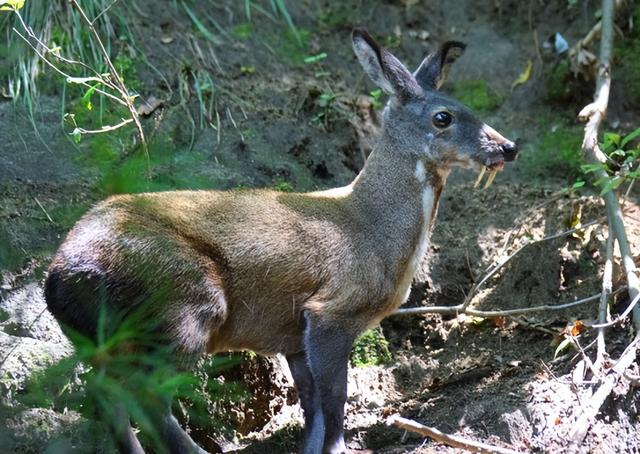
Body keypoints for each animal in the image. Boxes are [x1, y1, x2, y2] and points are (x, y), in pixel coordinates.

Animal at [43, 29, 516, 454]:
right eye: (443, 117)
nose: (508, 147)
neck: (374, 231)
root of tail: (58, 276)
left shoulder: (291, 333)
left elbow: (313, 407)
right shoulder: (332, 309)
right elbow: (335, 400)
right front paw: (339, 449)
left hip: (104, 338)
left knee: (108, 396)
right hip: (181, 301)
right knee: (147, 397)